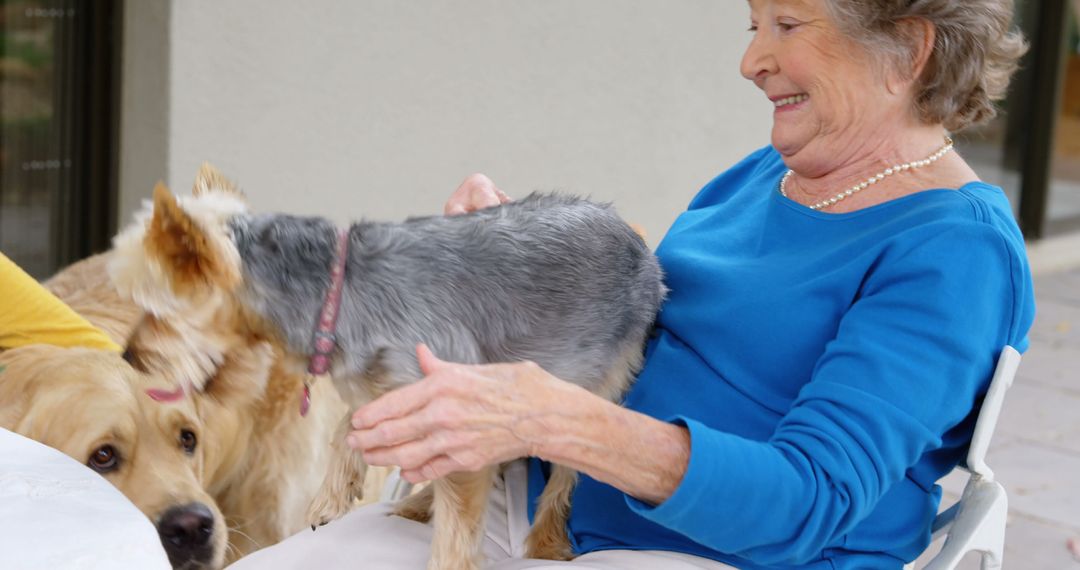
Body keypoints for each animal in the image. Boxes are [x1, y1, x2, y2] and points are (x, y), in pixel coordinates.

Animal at [111, 167, 665, 570]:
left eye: (154, 313)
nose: (128, 356)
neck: (333, 291)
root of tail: (633, 234)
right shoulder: (400, 391)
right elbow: (350, 423)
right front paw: (334, 493)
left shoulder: (458, 400)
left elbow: (458, 530)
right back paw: (421, 502)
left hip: (592, 377)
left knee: (566, 469)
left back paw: (546, 540)